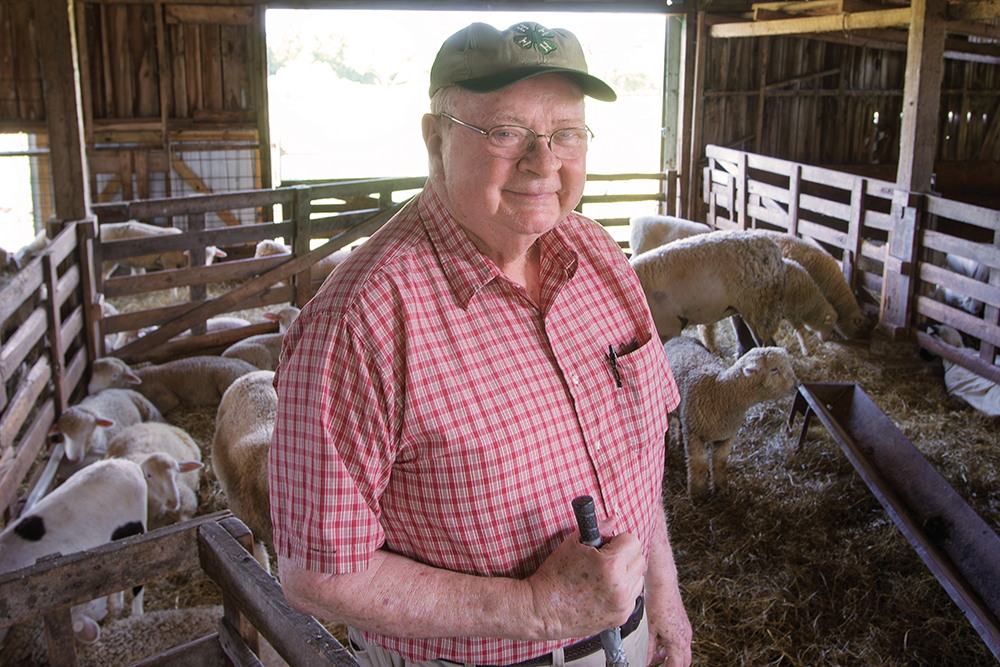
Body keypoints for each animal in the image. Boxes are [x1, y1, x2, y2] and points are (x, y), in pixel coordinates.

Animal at [663, 336, 799, 500]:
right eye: (774, 369)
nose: (797, 385)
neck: (721, 392)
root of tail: (681, 337)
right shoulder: (695, 435)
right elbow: (699, 464)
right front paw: (697, 494)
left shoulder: (727, 436)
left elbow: (720, 462)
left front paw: (721, 489)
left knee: (680, 424)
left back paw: (680, 441)